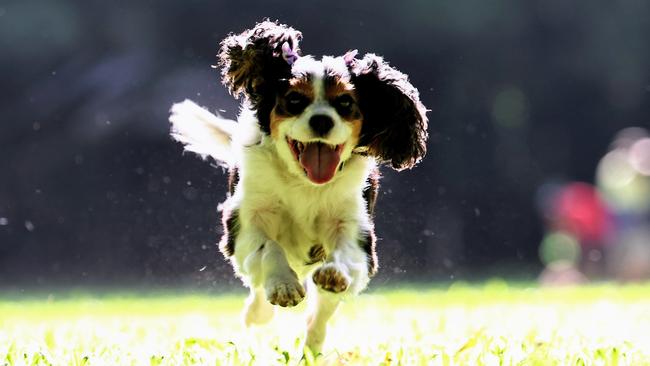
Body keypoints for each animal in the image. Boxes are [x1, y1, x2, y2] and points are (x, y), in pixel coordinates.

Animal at [167, 21, 426, 354]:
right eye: (294, 100)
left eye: (345, 103)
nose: (321, 121)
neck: (303, 180)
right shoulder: (244, 221)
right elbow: (268, 248)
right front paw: (284, 285)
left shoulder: (355, 225)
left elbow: (347, 253)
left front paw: (334, 273)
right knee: (258, 291)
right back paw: (258, 313)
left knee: (320, 313)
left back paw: (312, 348)